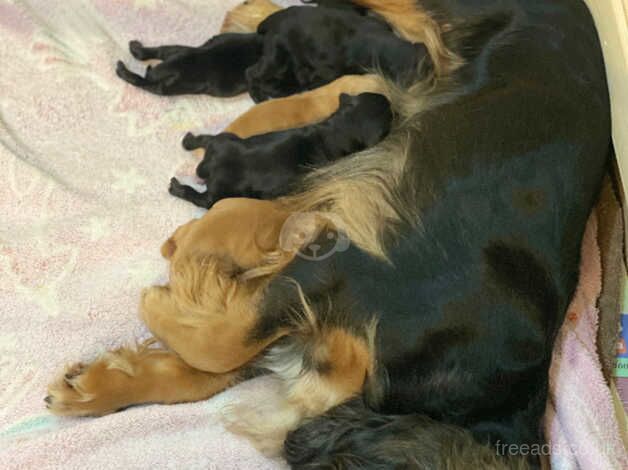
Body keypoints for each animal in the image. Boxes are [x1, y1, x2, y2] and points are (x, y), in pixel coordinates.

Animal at [116, 32, 262, 96]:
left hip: (176, 50)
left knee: (159, 51)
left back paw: (135, 49)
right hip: (173, 87)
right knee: (145, 83)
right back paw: (122, 70)